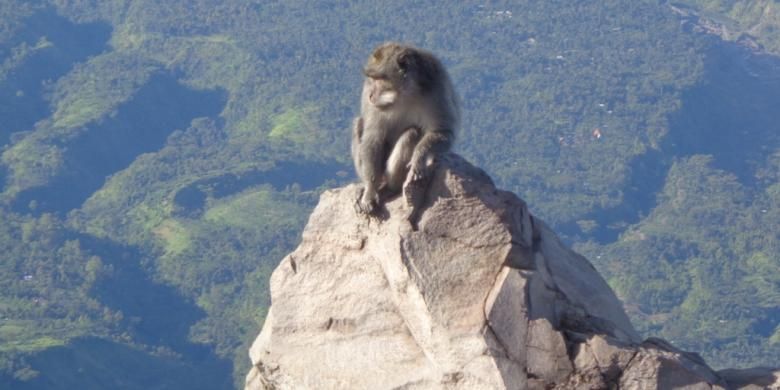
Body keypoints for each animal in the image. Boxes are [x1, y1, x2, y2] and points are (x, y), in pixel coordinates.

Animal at [352, 43, 458, 215]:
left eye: (380, 78)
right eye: (372, 78)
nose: (371, 94)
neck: (405, 93)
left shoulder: (436, 86)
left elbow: (442, 131)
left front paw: (418, 159)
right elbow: (373, 137)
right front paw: (369, 191)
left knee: (412, 133)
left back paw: (392, 187)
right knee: (358, 123)